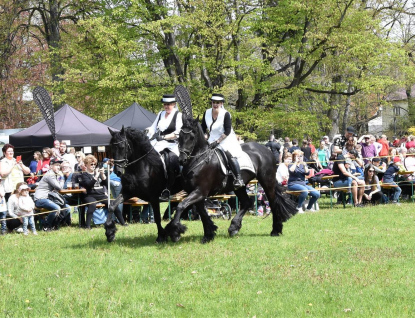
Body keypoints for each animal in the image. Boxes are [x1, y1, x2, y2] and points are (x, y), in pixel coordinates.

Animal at [163, 115, 300, 242]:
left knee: (272, 201)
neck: (199, 160)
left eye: (192, 137)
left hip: (267, 181)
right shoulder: (197, 193)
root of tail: (266, 150)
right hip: (240, 186)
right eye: (179, 136)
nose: (182, 159)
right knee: (247, 202)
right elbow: (202, 213)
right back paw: (234, 227)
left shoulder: (200, 191)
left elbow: (181, 206)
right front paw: (208, 234)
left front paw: (175, 232)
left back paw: (275, 230)